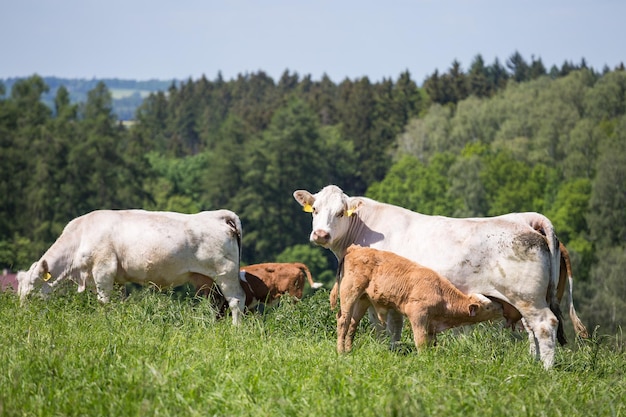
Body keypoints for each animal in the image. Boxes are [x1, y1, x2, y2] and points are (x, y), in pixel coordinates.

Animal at [17, 210, 246, 324]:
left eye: (31, 295)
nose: (22, 316)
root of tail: (221, 215)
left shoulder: (103, 269)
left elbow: (103, 302)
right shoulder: (117, 278)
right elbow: (118, 301)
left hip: (225, 273)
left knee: (236, 300)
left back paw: (235, 330)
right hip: (205, 279)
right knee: (216, 303)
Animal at [332, 245, 502, 352]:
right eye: (488, 306)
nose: (501, 307)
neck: (441, 293)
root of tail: (355, 248)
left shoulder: (432, 324)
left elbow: (432, 343)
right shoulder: (418, 314)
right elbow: (420, 341)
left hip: (363, 299)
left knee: (353, 323)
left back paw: (349, 351)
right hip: (350, 293)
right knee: (343, 320)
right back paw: (341, 353)